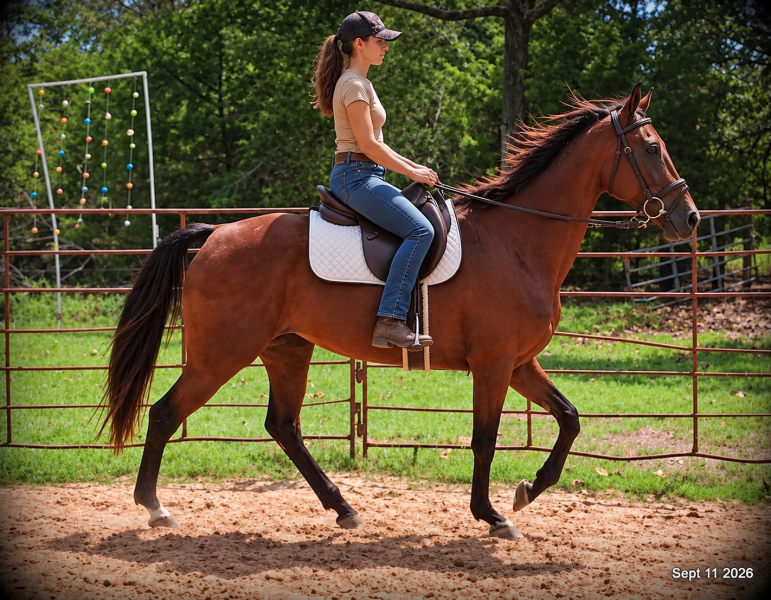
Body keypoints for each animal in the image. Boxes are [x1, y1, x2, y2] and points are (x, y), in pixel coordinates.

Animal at [101, 84, 700, 540]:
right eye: (651, 148)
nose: (689, 218)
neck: (517, 241)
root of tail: (213, 236)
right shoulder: (493, 365)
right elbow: (485, 439)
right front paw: (492, 515)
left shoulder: (519, 363)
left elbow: (570, 418)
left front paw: (528, 491)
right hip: (220, 355)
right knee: (165, 414)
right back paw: (154, 507)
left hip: (286, 349)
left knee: (284, 427)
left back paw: (343, 508)